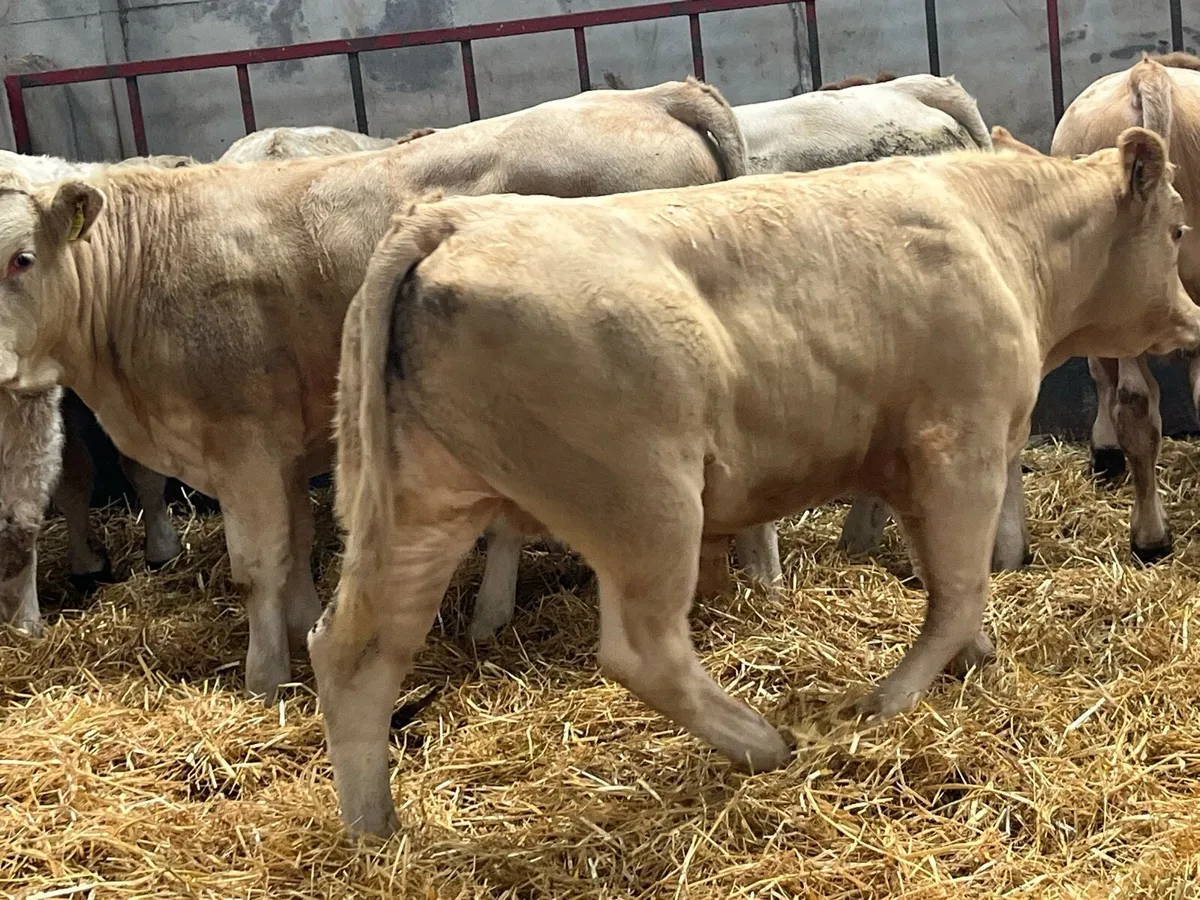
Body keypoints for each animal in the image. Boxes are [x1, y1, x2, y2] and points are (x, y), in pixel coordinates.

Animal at [314, 126, 1199, 836]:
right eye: (1179, 228)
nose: (1192, 317)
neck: (999, 233)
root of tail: (453, 220)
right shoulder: (961, 443)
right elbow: (957, 589)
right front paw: (888, 700)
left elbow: (952, 579)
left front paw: (977, 661)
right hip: (646, 500)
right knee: (644, 650)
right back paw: (764, 743)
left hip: (422, 502)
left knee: (358, 648)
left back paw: (373, 830)